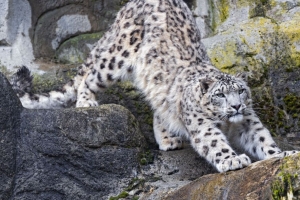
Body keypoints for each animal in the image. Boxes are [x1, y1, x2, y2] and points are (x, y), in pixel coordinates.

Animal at [11, 0, 298, 172]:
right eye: (220, 95)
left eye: (240, 91)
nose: (237, 106)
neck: (230, 122)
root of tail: (129, 5)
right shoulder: (202, 125)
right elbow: (215, 142)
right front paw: (233, 159)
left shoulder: (248, 122)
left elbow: (262, 138)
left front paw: (282, 153)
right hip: (117, 57)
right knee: (90, 74)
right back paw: (86, 101)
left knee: (159, 106)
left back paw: (168, 138)